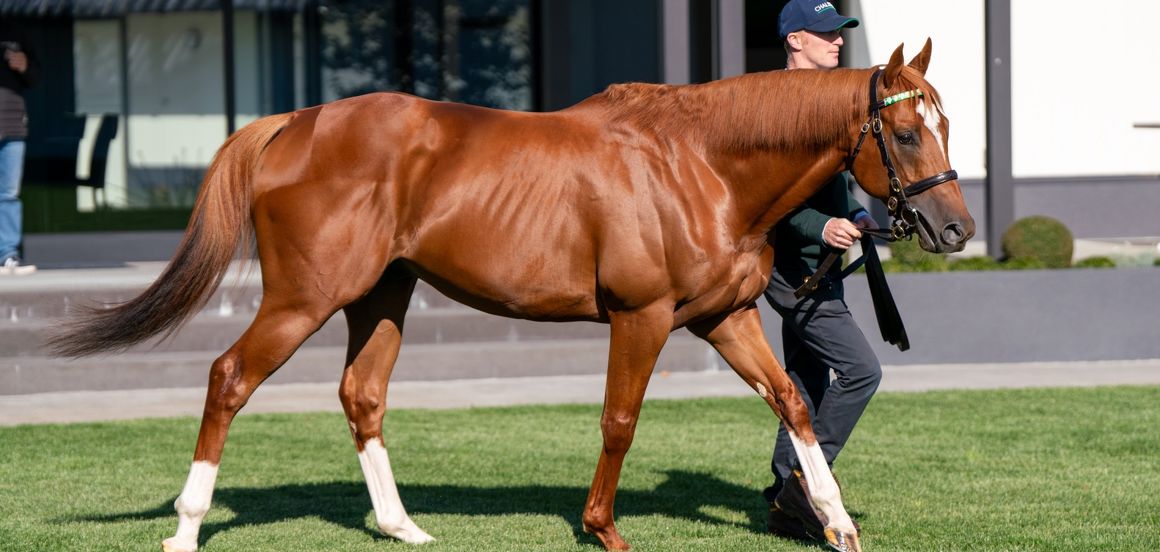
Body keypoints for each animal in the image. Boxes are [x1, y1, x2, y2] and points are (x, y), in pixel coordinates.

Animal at [58, 42, 974, 552]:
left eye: (944, 124)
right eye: (903, 132)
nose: (956, 228)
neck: (699, 164)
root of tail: (298, 120)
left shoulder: (724, 318)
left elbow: (793, 400)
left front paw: (835, 522)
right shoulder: (641, 319)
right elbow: (619, 419)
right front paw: (604, 529)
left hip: (382, 295)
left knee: (361, 394)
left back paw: (401, 526)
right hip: (302, 298)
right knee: (229, 378)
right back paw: (185, 527)